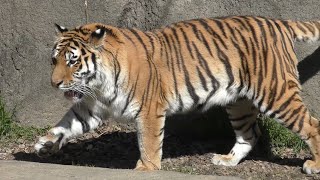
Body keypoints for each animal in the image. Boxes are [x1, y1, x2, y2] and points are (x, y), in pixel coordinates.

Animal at [35, 15, 320, 174]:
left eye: (72, 61)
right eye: (54, 60)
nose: (54, 83)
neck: (98, 84)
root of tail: (277, 22)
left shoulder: (149, 110)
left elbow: (149, 143)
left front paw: (146, 168)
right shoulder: (92, 107)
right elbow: (67, 124)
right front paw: (45, 143)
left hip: (276, 93)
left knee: (312, 125)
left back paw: (314, 165)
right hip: (239, 103)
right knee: (250, 133)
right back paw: (227, 160)